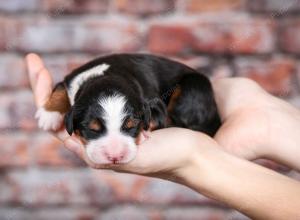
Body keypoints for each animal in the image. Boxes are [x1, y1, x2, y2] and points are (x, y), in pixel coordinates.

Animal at [36, 53, 221, 165]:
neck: (108, 75)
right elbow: (60, 87)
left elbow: (158, 118)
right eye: (93, 129)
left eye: (131, 126)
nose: (115, 156)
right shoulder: (72, 77)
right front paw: (49, 114)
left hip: (193, 89)